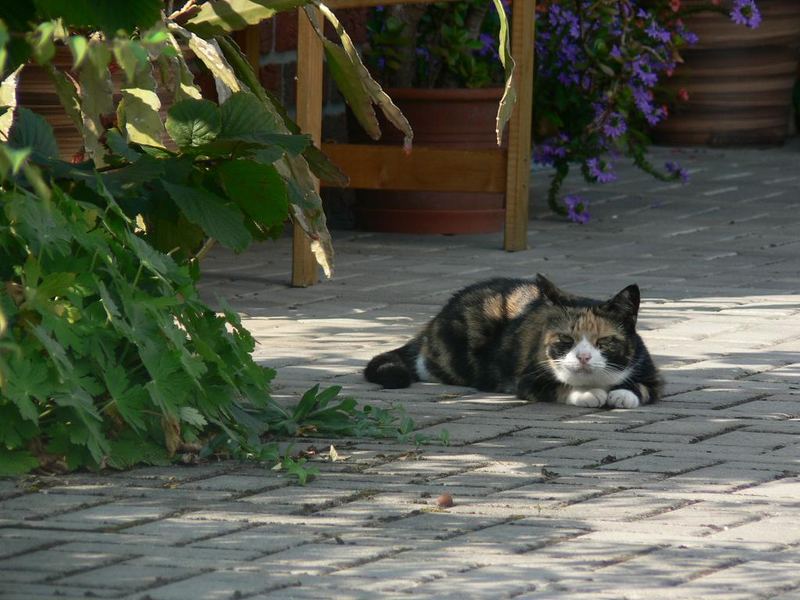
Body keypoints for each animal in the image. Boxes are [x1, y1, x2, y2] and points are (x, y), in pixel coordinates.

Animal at [364, 276, 664, 408]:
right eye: (566, 339)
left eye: (603, 341)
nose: (583, 357)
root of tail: (431, 324)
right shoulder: (530, 379)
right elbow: (559, 387)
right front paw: (589, 394)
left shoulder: (652, 376)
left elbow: (643, 389)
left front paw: (622, 394)